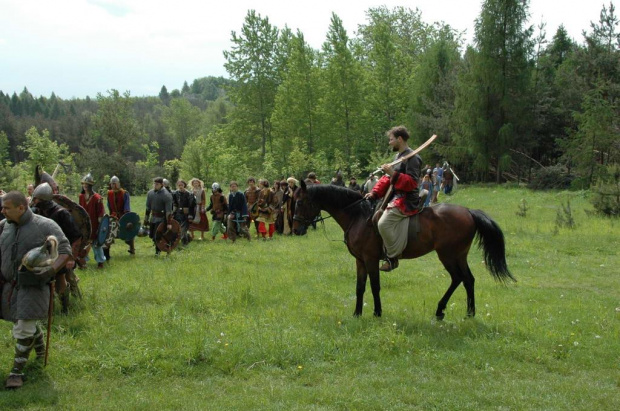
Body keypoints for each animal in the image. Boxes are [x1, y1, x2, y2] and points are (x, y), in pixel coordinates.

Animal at [294, 182, 516, 320]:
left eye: (300, 202)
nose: (296, 229)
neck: (358, 216)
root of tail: (468, 211)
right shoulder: (360, 260)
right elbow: (360, 287)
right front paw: (357, 313)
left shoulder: (371, 259)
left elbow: (375, 286)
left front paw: (377, 312)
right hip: (459, 256)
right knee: (468, 279)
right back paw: (467, 313)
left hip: (447, 255)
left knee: (458, 278)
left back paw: (442, 310)